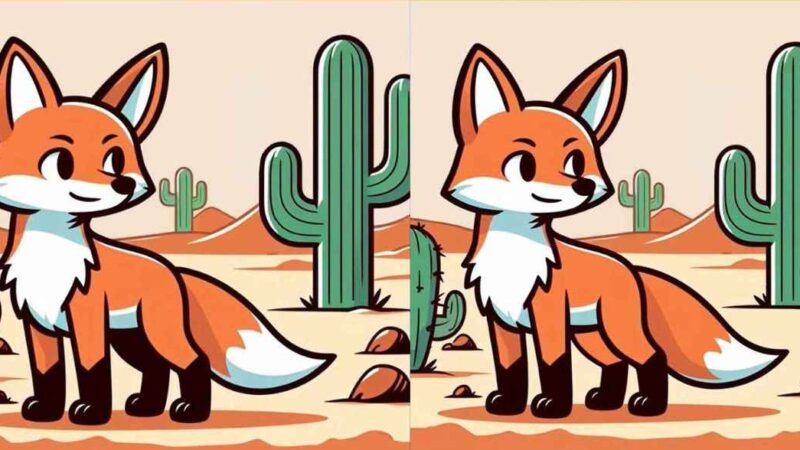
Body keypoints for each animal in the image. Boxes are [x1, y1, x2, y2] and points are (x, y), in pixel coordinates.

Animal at [0, 37, 334, 425]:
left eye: (117, 158)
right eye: (61, 162)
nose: (125, 183)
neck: (50, 257)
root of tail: (173, 270)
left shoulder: (87, 319)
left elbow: (91, 368)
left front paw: (92, 412)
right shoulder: (38, 322)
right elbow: (47, 372)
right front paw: (46, 410)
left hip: (156, 332)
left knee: (191, 360)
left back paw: (190, 411)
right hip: (131, 339)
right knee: (156, 367)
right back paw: (146, 406)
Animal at [442, 44, 788, 418]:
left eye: (577, 162)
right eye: (524, 164)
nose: (582, 185)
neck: (514, 253)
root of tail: (631, 269)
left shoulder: (548, 316)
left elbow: (553, 364)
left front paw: (554, 405)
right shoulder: (501, 319)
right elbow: (510, 367)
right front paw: (508, 404)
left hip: (615, 328)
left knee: (651, 356)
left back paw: (648, 404)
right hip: (591, 335)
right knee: (615, 362)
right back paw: (606, 401)